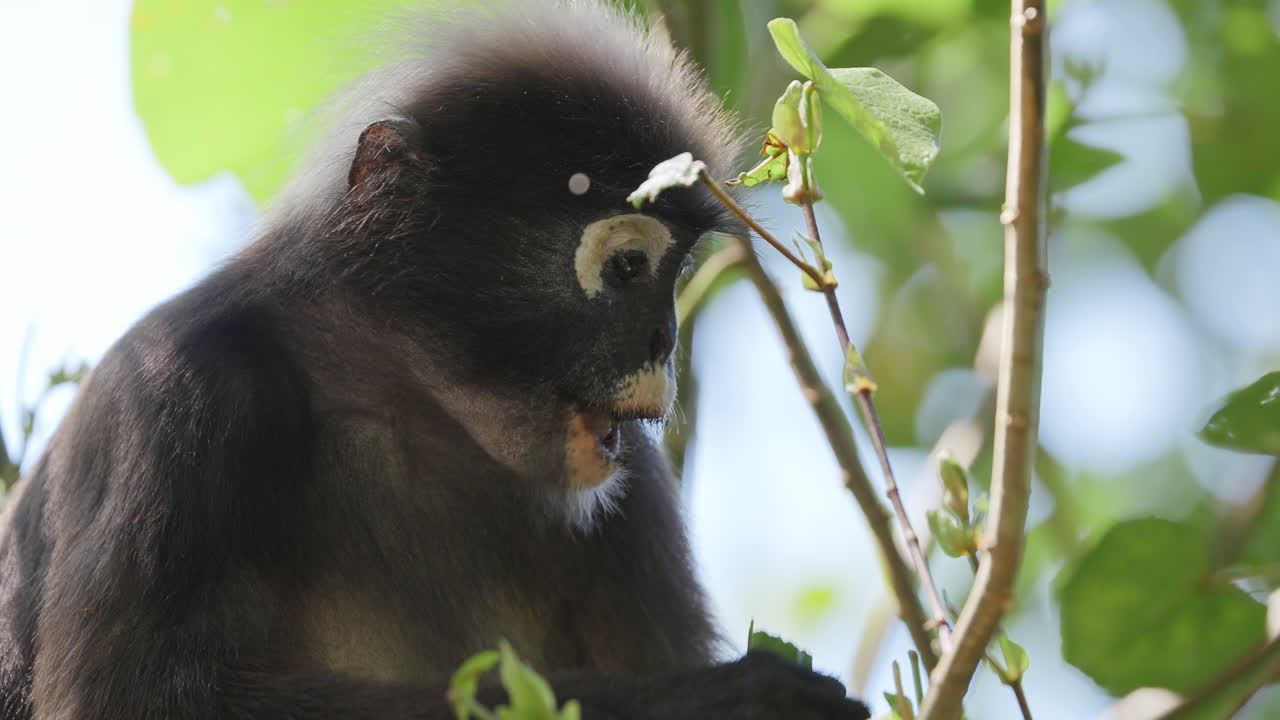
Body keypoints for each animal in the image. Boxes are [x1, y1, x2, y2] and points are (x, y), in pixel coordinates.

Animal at [0, 2, 871, 719]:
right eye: (628, 267)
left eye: (677, 273)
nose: (664, 340)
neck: (404, 401)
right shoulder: (179, 395)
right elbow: (136, 704)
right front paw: (728, 699)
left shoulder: (635, 484)